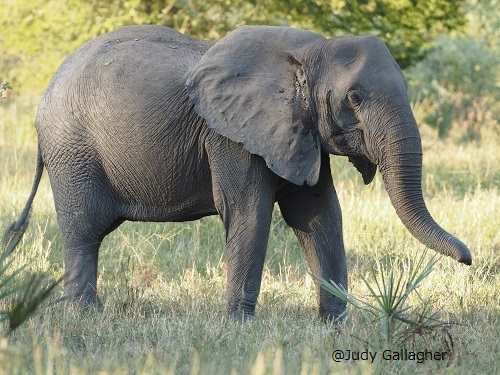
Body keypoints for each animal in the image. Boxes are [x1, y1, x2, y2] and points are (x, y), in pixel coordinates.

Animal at [5, 25, 470, 322]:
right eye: (354, 98)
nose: (468, 259)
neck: (308, 52)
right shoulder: (228, 135)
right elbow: (250, 213)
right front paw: (239, 328)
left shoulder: (299, 131)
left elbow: (320, 215)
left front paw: (335, 325)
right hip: (72, 152)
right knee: (83, 230)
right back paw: (88, 316)